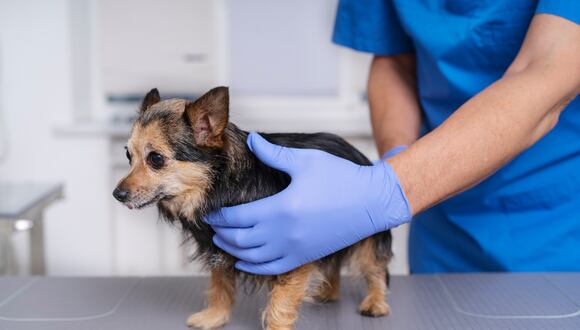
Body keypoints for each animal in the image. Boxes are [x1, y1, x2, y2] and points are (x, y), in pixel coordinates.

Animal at [112, 86, 394, 328]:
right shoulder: (220, 249)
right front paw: (215, 316)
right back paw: (329, 291)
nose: (117, 194)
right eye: (128, 155)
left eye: (156, 159)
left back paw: (375, 302)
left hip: (366, 238)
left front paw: (276, 327)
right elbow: (220, 286)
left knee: (374, 268)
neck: (223, 186)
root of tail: (356, 152)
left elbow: (280, 302)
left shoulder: (290, 254)